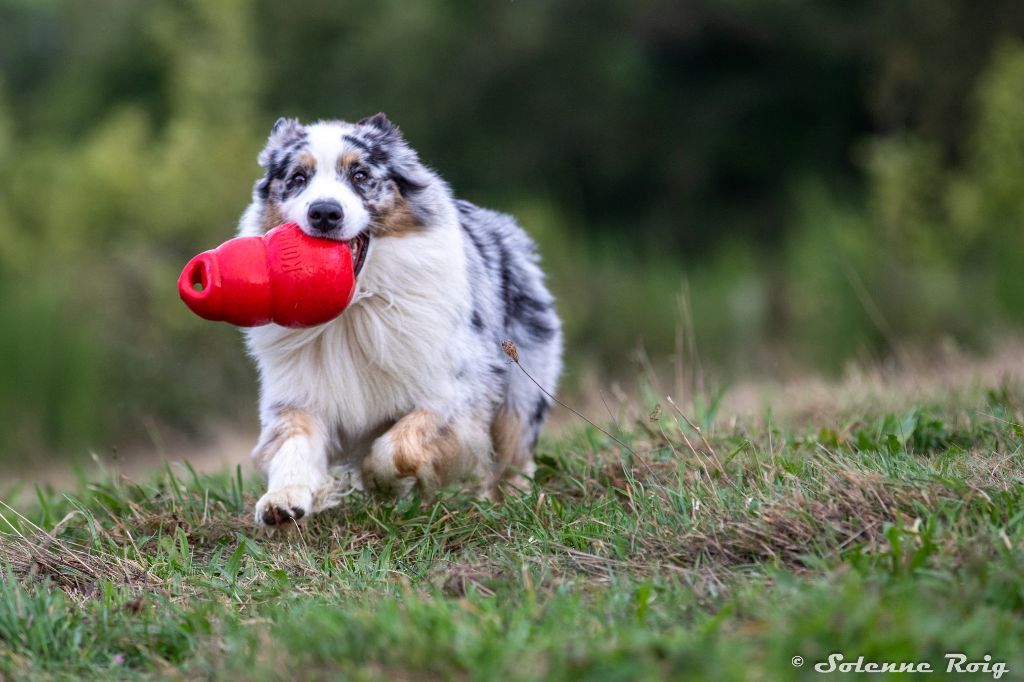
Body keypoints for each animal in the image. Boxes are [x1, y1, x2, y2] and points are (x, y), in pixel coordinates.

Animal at [236, 114, 565, 522]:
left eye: (360, 174)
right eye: (298, 177)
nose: (325, 212)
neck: (356, 310)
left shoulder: (455, 391)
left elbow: (397, 446)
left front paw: (380, 482)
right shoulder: (299, 393)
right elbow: (292, 444)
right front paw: (282, 500)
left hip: (521, 388)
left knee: (512, 454)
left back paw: (513, 502)